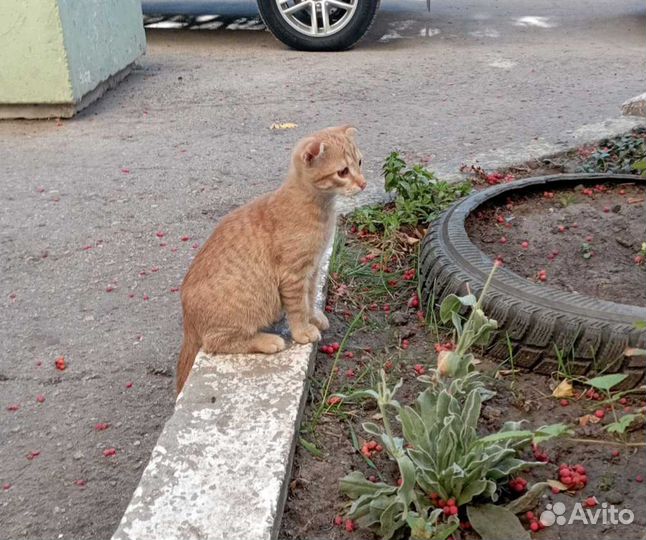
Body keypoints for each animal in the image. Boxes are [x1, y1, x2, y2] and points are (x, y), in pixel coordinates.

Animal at [177, 124, 368, 390]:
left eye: (359, 162)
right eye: (342, 172)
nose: (363, 183)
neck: (320, 208)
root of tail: (188, 323)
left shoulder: (313, 269)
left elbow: (310, 298)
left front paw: (314, 317)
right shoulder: (294, 275)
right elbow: (298, 308)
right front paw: (302, 331)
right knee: (215, 342)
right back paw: (267, 340)